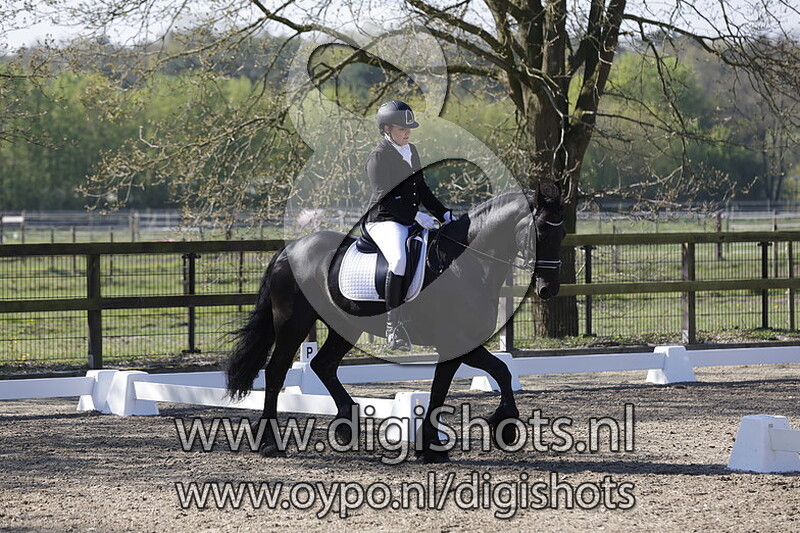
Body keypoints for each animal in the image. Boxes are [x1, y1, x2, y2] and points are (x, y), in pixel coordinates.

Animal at [226, 184, 566, 462]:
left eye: (562, 234)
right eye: (540, 233)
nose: (548, 289)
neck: (464, 264)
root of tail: (290, 249)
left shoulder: (458, 345)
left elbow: (456, 384)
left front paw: (436, 444)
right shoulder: (457, 341)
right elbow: (490, 374)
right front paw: (499, 428)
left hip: (346, 327)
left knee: (323, 365)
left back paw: (346, 425)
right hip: (293, 323)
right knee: (276, 371)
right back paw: (270, 443)